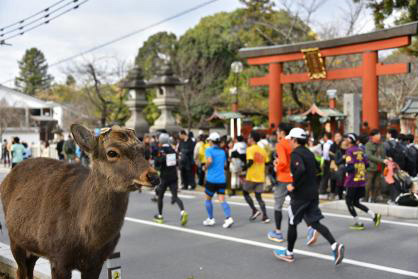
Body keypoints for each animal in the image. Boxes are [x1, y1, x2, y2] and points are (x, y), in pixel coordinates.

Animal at [0, 125, 160, 279]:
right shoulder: (58, 257)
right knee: (20, 271)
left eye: (143, 149)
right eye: (112, 152)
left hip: (33, 246)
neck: (88, 241)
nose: (153, 176)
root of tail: (6, 178)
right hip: (15, 239)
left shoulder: (97, 262)